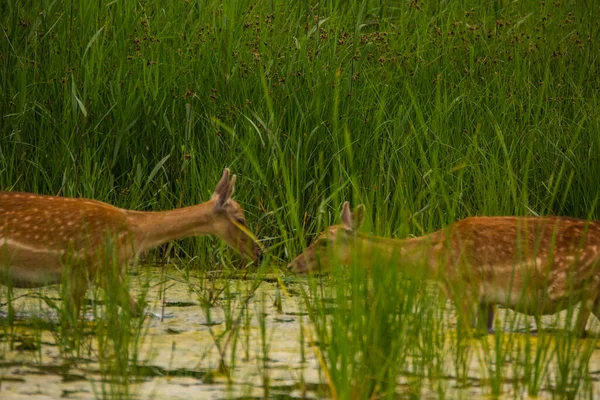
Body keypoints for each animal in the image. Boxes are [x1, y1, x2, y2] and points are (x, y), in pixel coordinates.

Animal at [288, 202, 600, 336]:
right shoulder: (487, 298)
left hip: (579, 283)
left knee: (580, 327)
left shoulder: (465, 286)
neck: (435, 262)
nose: (293, 264)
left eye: (323, 242)